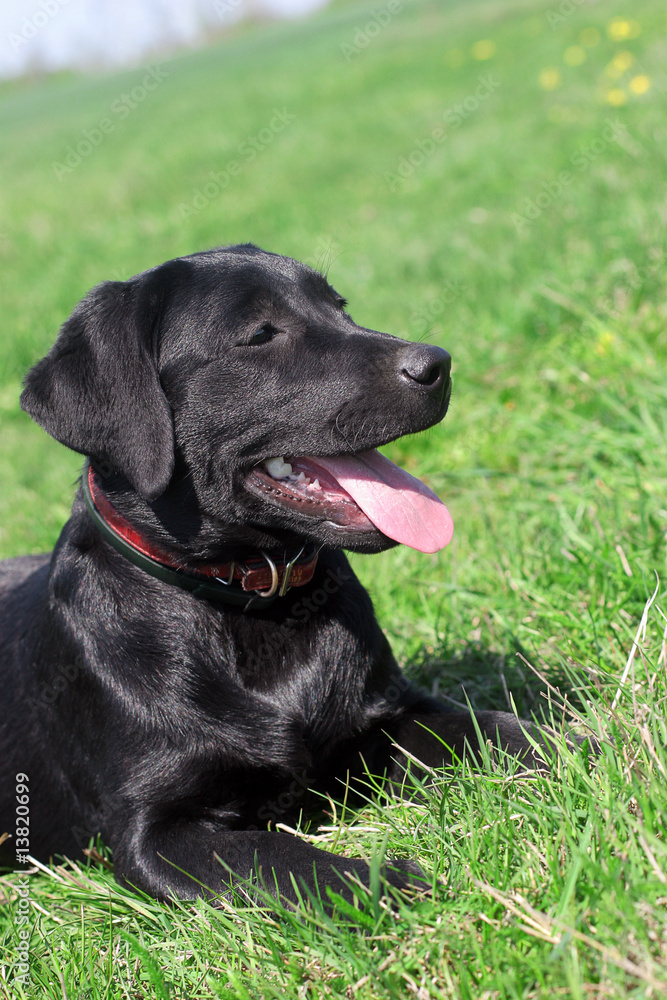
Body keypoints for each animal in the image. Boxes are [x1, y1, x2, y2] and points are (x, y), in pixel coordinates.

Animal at [2, 244, 548, 908]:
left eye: (340, 306)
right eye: (261, 334)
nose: (438, 364)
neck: (248, 600)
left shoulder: (391, 713)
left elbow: (489, 728)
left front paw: (589, 744)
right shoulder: (152, 832)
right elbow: (276, 858)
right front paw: (379, 882)